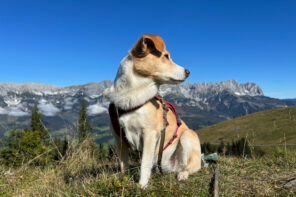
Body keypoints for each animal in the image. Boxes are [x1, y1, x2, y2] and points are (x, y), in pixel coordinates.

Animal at [103, 34, 201, 189]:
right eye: (166, 56)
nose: (188, 71)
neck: (131, 96)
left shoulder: (149, 134)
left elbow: (144, 164)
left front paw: (142, 185)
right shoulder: (119, 139)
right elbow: (123, 165)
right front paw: (122, 179)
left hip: (187, 136)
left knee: (192, 167)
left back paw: (183, 174)